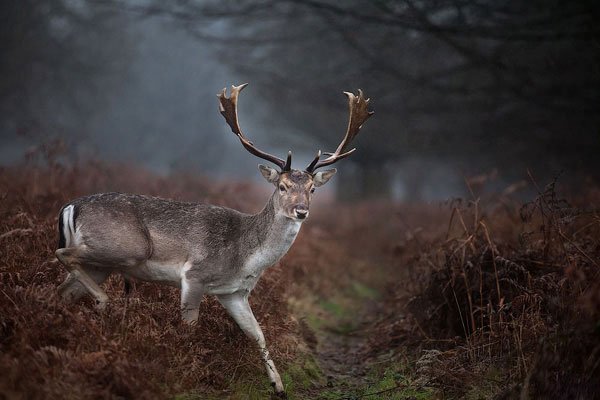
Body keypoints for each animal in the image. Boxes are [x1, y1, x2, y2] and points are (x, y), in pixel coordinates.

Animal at [57, 83, 376, 396]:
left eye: (312, 189)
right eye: (283, 186)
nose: (301, 211)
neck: (245, 256)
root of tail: (70, 207)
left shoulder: (234, 292)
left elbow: (257, 333)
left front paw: (279, 386)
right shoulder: (194, 275)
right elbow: (189, 328)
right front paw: (185, 376)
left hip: (101, 265)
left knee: (62, 290)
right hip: (126, 248)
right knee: (63, 255)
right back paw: (102, 302)